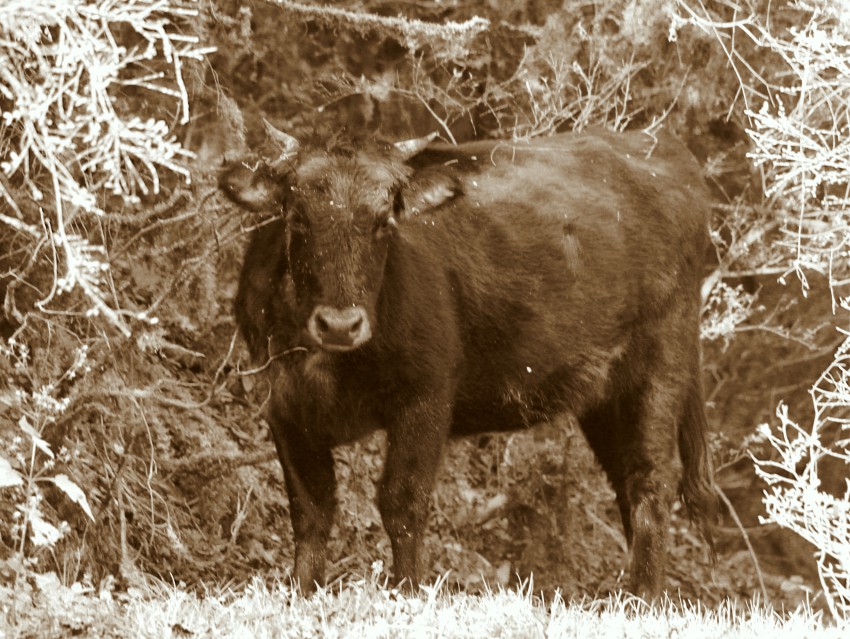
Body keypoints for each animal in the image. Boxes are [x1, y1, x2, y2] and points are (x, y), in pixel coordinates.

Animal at [220, 125, 718, 599]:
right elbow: (311, 510)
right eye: (296, 217)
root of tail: (661, 145)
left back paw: (644, 597)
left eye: (384, 220)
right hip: (604, 397)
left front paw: (406, 593)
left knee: (650, 481)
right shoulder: (284, 406)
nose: (340, 324)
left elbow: (402, 503)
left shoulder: (427, 397)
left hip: (660, 367)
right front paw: (302, 594)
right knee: (624, 480)